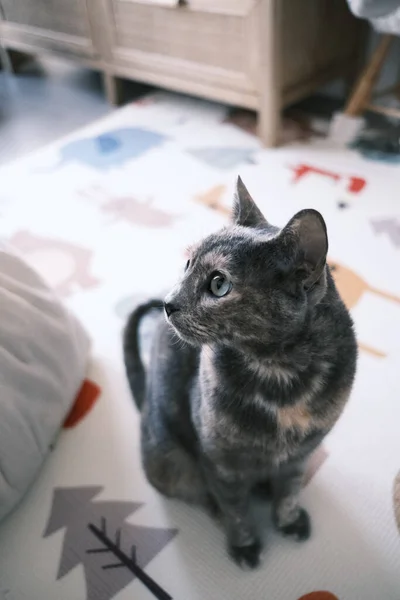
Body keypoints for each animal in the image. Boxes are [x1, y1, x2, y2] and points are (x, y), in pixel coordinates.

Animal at [123, 177, 358, 568]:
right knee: (200, 493)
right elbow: (234, 508)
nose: (168, 303)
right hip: (166, 459)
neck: (279, 373)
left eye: (219, 284)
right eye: (187, 264)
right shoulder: (219, 459)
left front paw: (288, 520)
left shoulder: (302, 454)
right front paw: (245, 544)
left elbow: (290, 491)